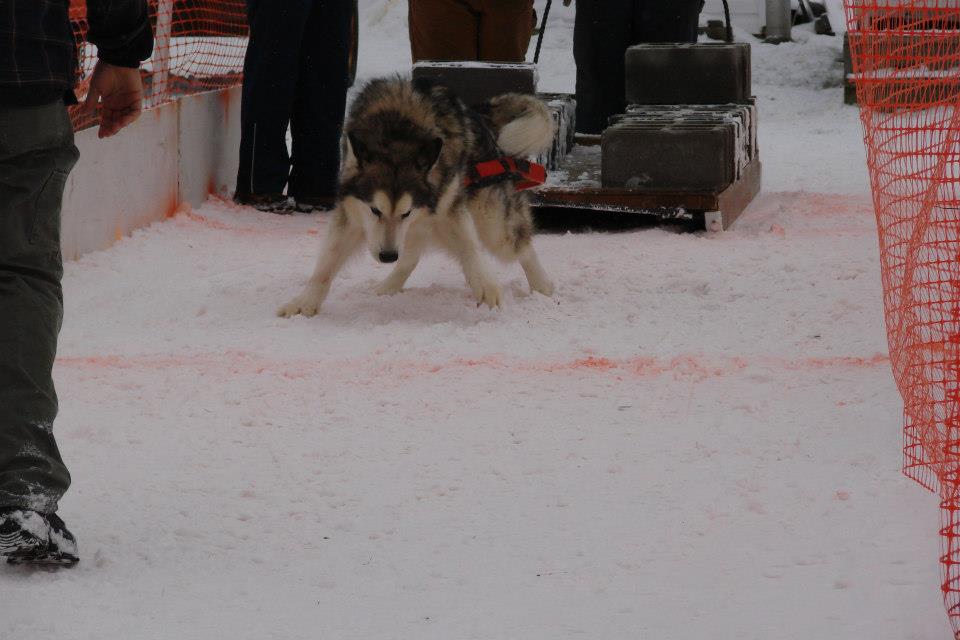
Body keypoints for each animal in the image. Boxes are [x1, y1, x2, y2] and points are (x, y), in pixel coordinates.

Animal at [278, 77, 556, 318]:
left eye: (405, 211)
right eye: (375, 210)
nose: (387, 256)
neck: (398, 131)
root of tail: (477, 115)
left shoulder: (445, 209)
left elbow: (469, 246)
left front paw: (485, 284)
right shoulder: (355, 214)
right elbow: (327, 264)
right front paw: (305, 302)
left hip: (491, 224)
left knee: (519, 245)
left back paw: (543, 286)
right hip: (419, 227)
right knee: (409, 258)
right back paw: (388, 286)